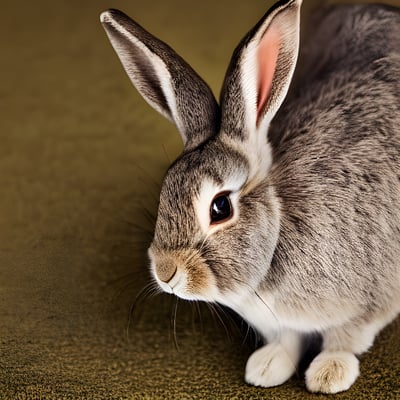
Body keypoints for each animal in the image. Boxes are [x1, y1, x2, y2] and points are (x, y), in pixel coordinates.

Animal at [102, 0, 400, 394]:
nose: (166, 271)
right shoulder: (279, 324)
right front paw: (266, 367)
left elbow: (344, 340)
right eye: (166, 189)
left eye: (220, 207)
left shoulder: (367, 301)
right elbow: (286, 342)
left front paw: (328, 374)